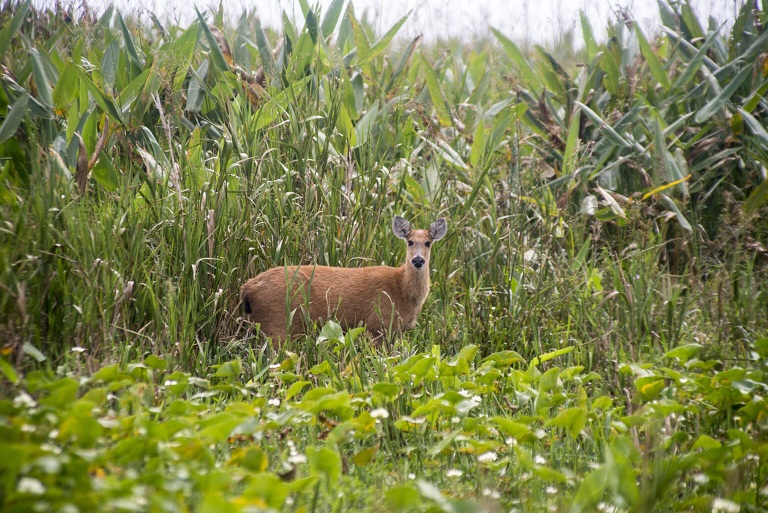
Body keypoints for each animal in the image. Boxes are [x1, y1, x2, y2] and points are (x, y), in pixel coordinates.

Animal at [238, 214, 444, 342]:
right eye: (410, 242)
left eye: (428, 242)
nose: (418, 260)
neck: (403, 292)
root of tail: (247, 288)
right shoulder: (378, 325)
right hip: (277, 323)